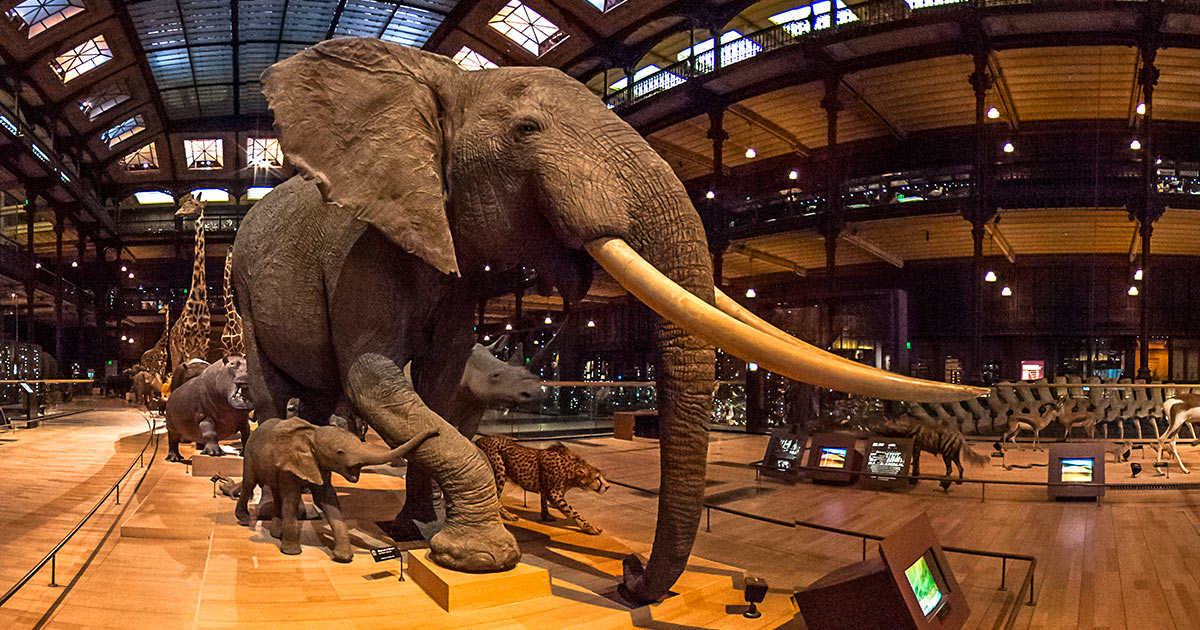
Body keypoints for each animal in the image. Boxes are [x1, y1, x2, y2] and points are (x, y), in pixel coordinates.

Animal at [235, 417, 436, 559]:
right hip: (250, 454)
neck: (313, 434)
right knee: (249, 483)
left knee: (276, 493)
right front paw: (292, 553)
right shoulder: (291, 466)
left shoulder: (319, 466)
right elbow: (291, 501)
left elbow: (328, 501)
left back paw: (276, 534)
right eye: (339, 452)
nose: (435, 431)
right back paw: (243, 519)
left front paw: (343, 557)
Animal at [472, 434, 609, 532]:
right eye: (597, 478)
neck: (571, 469)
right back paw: (508, 515)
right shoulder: (555, 494)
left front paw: (545, 516)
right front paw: (589, 526)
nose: (607, 486)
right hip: (499, 471)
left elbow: (544, 502)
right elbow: (573, 511)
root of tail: (479, 439)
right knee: (494, 498)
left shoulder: (546, 489)